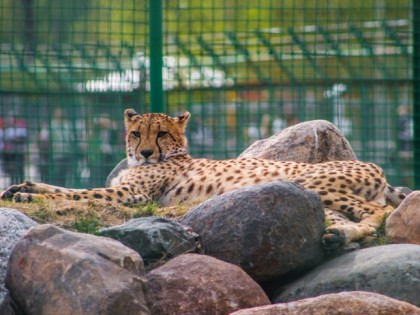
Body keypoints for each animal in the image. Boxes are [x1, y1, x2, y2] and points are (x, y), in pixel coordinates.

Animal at [0, 110, 406, 251]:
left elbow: (82, 194)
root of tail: (377, 168)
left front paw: (29, 196)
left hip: (314, 184)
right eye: (137, 132)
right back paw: (338, 237)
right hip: (319, 198)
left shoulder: (132, 196)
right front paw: (23, 188)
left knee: (377, 212)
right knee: (354, 219)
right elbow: (65, 189)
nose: (144, 153)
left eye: (161, 133)